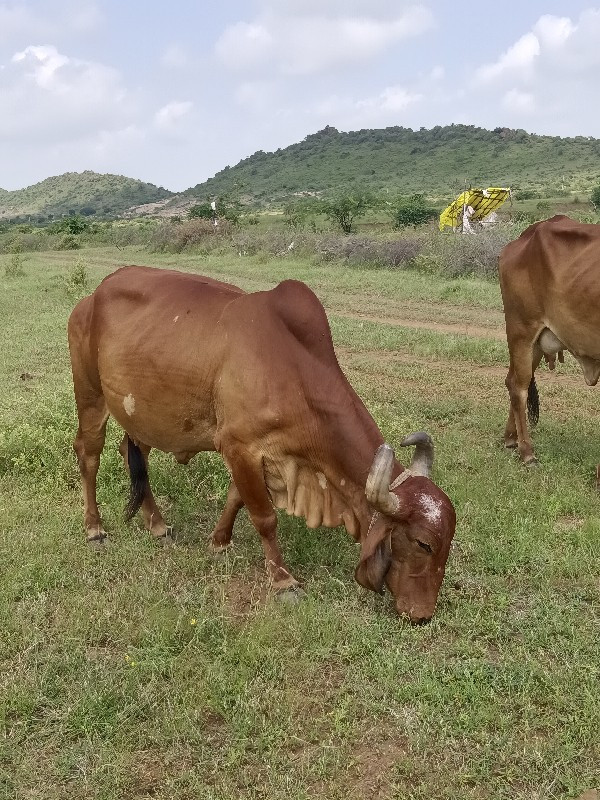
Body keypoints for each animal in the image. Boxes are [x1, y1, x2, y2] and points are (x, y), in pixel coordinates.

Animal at [69, 266, 454, 620]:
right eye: (424, 543)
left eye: (449, 541)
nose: (423, 614)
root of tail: (92, 296)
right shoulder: (239, 446)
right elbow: (265, 517)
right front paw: (283, 581)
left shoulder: (260, 455)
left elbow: (236, 498)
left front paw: (219, 542)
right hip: (90, 395)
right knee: (88, 454)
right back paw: (94, 528)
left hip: (141, 414)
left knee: (132, 454)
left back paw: (158, 525)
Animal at [496, 216, 600, 466]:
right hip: (521, 331)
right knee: (518, 387)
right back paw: (527, 451)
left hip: (534, 343)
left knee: (512, 381)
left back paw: (511, 439)